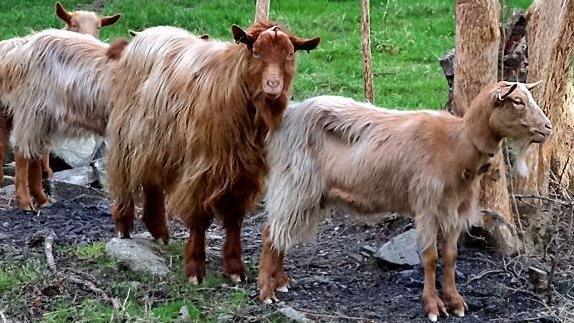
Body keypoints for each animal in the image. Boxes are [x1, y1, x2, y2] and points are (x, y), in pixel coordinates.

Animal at [108, 22, 322, 286]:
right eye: (256, 52)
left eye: (290, 54)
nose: (273, 86)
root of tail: (143, 34)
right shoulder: (202, 168)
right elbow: (199, 218)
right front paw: (195, 268)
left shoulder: (244, 173)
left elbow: (234, 218)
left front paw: (235, 268)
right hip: (127, 135)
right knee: (125, 176)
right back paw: (124, 224)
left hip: (159, 143)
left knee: (152, 181)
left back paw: (158, 230)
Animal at [258, 81, 552, 322]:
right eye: (518, 101)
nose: (548, 127)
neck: (456, 143)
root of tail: (286, 116)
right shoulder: (426, 207)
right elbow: (431, 257)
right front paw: (433, 306)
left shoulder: (455, 210)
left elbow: (451, 256)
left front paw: (455, 301)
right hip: (295, 185)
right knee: (269, 233)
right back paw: (266, 291)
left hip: (306, 194)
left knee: (280, 235)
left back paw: (281, 282)